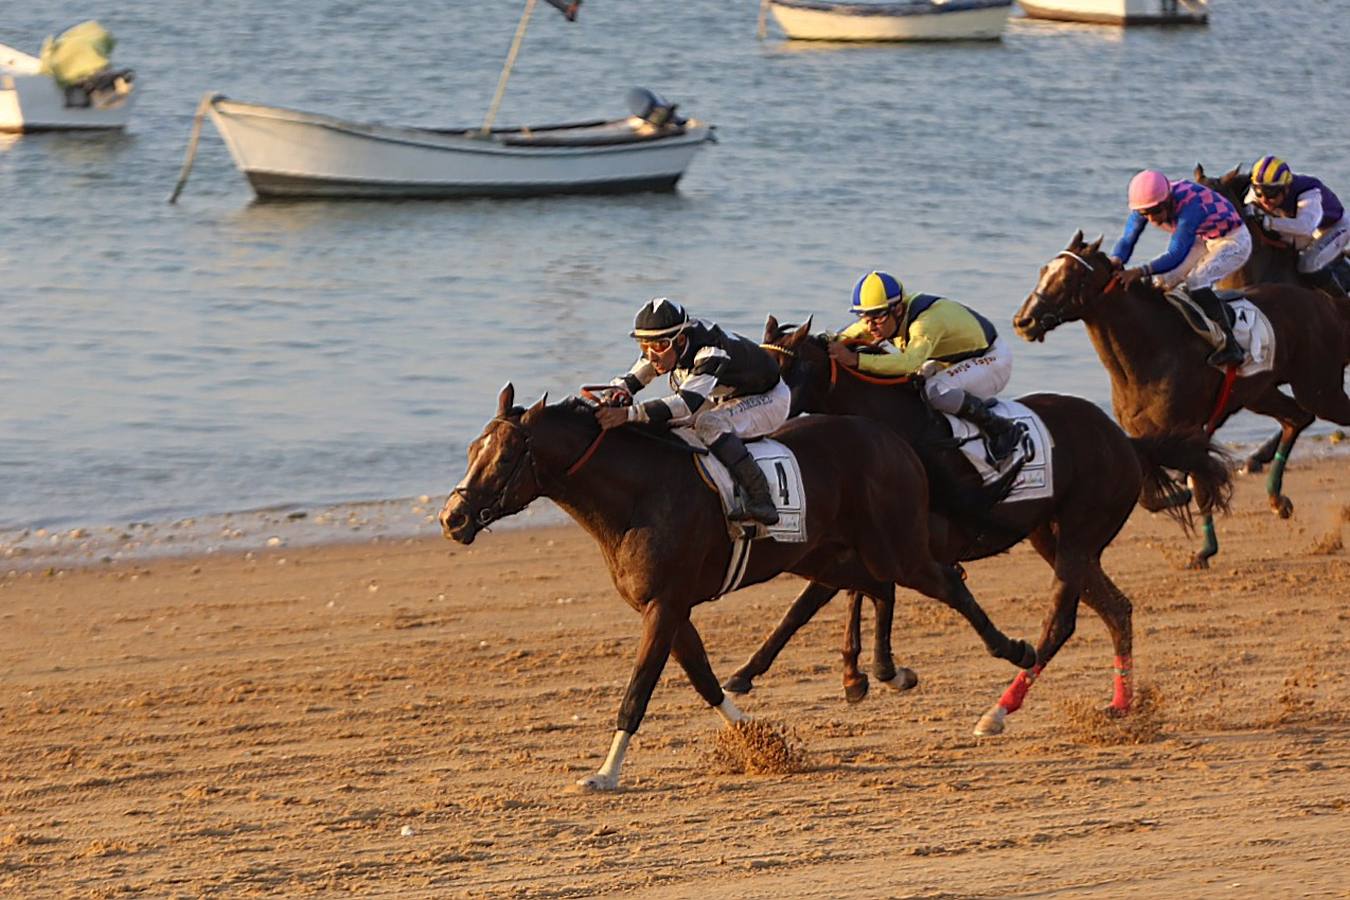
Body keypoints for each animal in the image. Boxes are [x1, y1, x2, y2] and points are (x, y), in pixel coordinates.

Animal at [437, 383, 1026, 793]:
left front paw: (604, 775)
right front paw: (764, 744)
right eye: (470, 450)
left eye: (504, 457)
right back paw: (882, 670)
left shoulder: (665, 605)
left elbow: (637, 694)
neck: (638, 495)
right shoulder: (668, 609)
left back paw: (1014, 653)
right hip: (827, 555)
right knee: (878, 586)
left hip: (895, 544)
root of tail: (893, 439)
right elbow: (705, 681)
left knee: (945, 583)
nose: (452, 518)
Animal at [729, 319, 1236, 734]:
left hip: (1078, 537)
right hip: (1051, 537)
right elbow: (808, 606)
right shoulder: (862, 541)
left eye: (783, 368)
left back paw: (1000, 709)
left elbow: (856, 594)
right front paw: (760, 673)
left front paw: (872, 672)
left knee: (1061, 623)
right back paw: (1120, 703)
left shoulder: (906, 544)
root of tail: (1127, 442)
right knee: (1116, 609)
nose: (735, 413)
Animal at [1015, 232, 1350, 569]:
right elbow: (1152, 493)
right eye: (1043, 271)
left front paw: (1204, 550)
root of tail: (1325, 303)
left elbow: (1200, 486)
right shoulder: (1143, 433)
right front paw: (1175, 497)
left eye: (1069, 277)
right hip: (1262, 392)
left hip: (1319, 389)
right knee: (1296, 418)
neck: (1151, 349)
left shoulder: (1188, 429)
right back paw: (1277, 500)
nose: (1023, 321)